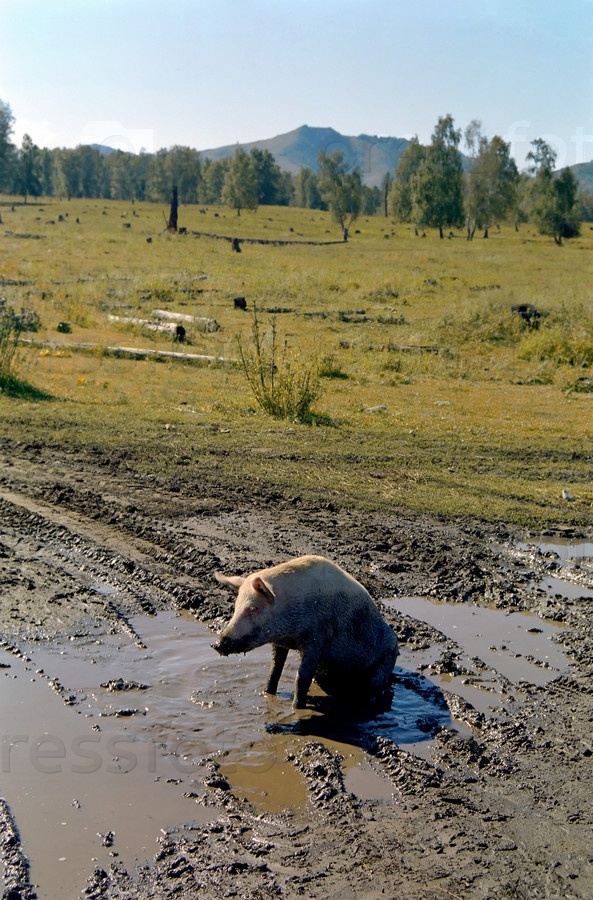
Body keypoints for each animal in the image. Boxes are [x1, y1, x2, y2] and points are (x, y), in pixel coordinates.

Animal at [212, 556, 398, 712]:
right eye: (236, 606)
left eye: (252, 608)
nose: (216, 644)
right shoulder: (280, 642)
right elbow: (274, 669)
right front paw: (267, 693)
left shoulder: (316, 639)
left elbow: (301, 677)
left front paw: (297, 708)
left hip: (385, 661)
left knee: (373, 687)